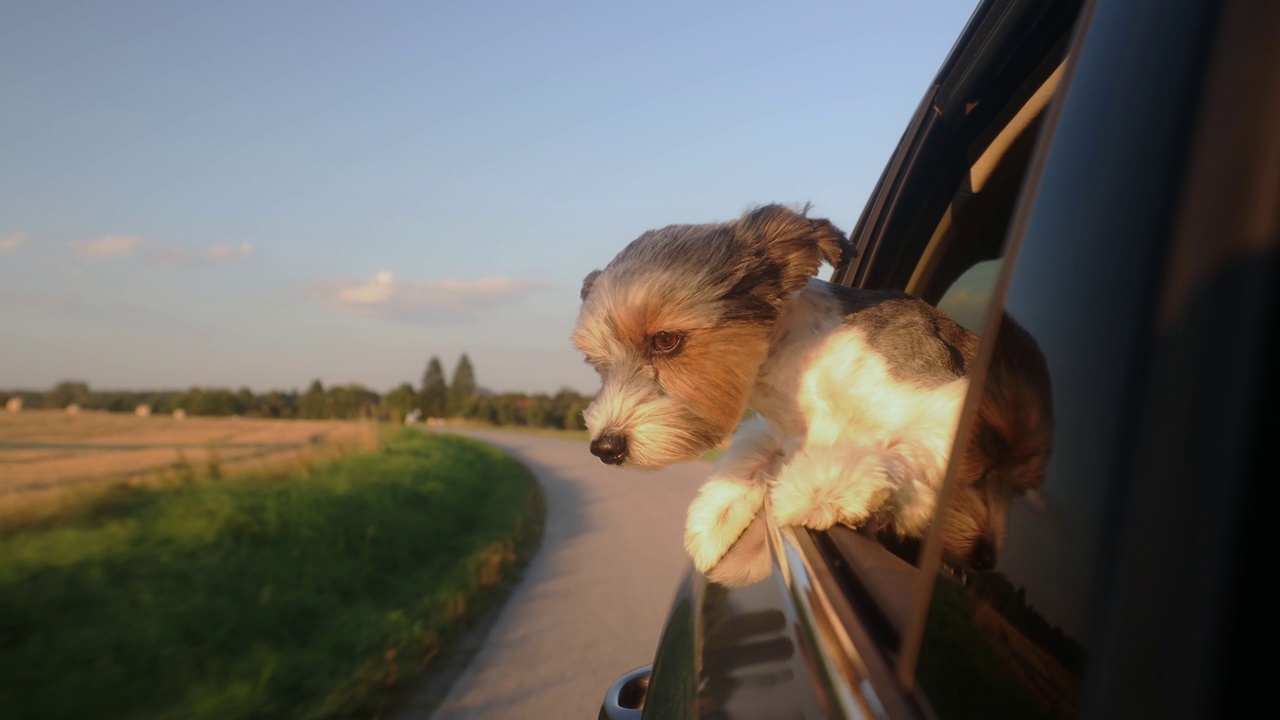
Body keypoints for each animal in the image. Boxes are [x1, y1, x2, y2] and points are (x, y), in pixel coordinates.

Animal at [576, 199, 1054, 584]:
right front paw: (716, 517)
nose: (604, 447)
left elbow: (905, 446)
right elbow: (752, 453)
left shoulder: (949, 405)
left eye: (665, 340)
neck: (801, 364)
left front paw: (817, 491)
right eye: (597, 363)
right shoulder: (777, 428)